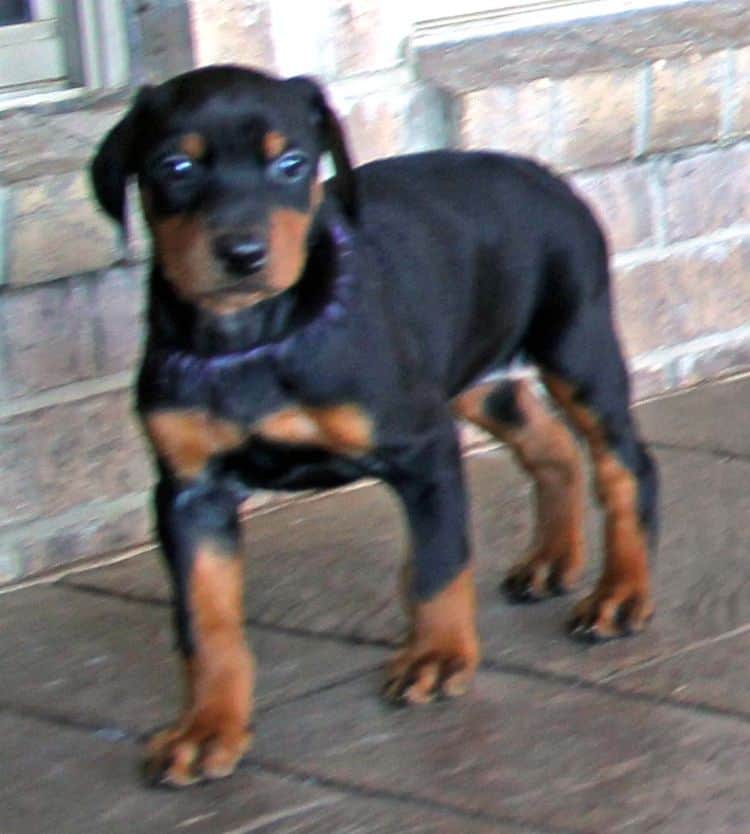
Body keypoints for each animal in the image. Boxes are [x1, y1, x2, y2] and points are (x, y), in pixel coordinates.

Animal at [91, 66, 660, 788]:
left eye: (291, 164)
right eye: (175, 166)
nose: (243, 254)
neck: (255, 337)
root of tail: (535, 170)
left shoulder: (422, 447)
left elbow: (440, 564)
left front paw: (438, 657)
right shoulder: (190, 493)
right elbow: (204, 619)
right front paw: (207, 728)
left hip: (575, 345)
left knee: (626, 466)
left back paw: (621, 594)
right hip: (473, 371)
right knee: (549, 444)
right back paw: (551, 560)